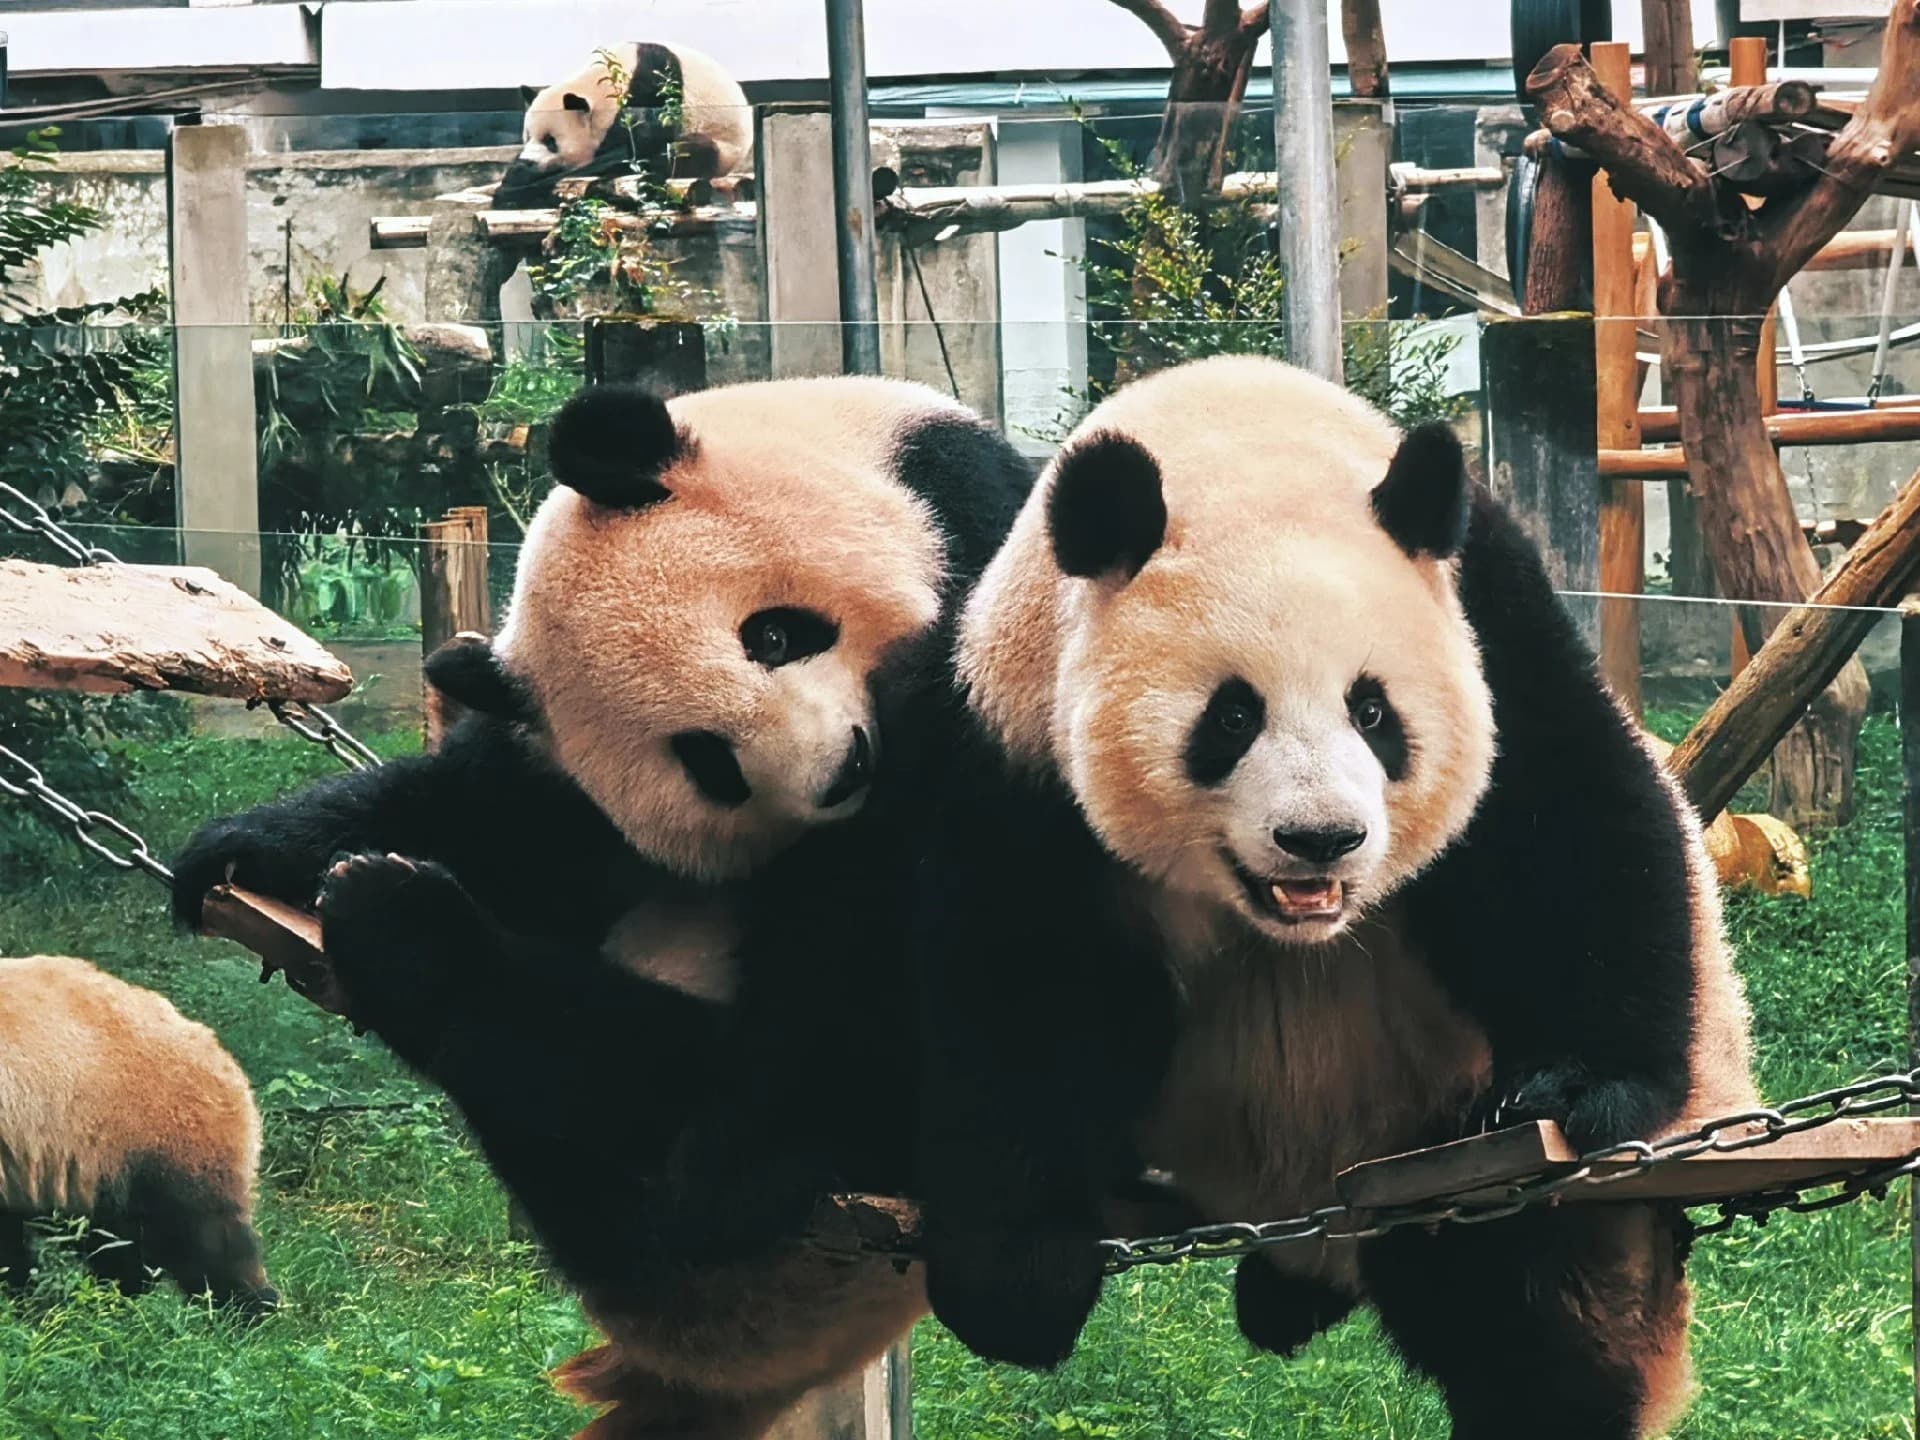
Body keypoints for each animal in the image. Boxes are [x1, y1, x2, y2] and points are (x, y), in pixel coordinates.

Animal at [171, 375, 1034, 1439]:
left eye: (775, 634)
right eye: (707, 763)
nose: (843, 771)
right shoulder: (561, 787)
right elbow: (499, 817)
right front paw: (250, 845)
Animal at [498, 42, 752, 205]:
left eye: (551, 141)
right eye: (527, 136)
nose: (527, 161)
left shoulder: (654, 87)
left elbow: (637, 148)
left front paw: (517, 182)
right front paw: (517, 172)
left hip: (722, 145)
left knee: (688, 152)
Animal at [912, 355, 1757, 1439]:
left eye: (1373, 711)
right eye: (1231, 716)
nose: (1321, 838)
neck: (1237, 442)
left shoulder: (1487, 616)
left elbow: (1567, 823)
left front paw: (1575, 1086)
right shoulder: (1016, 728)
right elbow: (1012, 977)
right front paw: (1020, 1276)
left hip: (1445, 1133)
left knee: (1533, 1311)